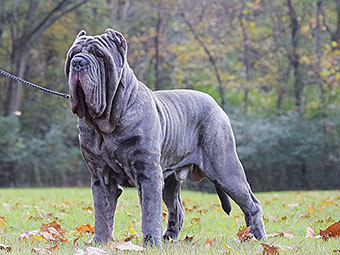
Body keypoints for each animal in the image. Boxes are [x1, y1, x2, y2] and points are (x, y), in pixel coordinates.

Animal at [63, 29, 266, 247]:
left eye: (100, 56)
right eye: (72, 55)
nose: (79, 62)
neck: (106, 122)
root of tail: (216, 104)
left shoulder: (148, 173)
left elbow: (150, 212)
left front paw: (151, 243)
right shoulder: (101, 177)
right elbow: (102, 211)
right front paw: (100, 242)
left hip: (225, 168)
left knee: (251, 203)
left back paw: (257, 237)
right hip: (171, 180)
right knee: (177, 208)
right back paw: (169, 237)